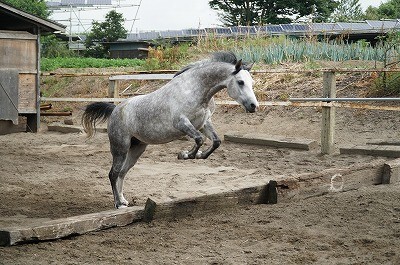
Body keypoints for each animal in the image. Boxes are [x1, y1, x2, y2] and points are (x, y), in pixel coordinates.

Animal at [82, 51, 258, 207]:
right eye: (240, 82)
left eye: (252, 83)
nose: (253, 106)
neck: (195, 90)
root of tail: (115, 109)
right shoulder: (182, 123)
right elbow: (199, 139)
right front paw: (185, 155)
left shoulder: (204, 124)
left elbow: (216, 141)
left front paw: (198, 155)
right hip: (120, 148)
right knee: (113, 174)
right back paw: (118, 203)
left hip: (137, 148)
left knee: (122, 173)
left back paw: (123, 201)